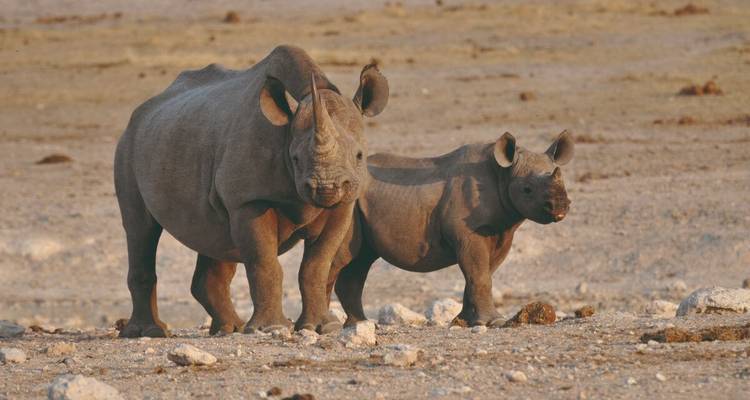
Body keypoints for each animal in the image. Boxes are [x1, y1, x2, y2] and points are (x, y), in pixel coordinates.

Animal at [114, 45, 388, 337]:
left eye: (360, 156)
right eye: (295, 159)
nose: (326, 187)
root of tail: (139, 113)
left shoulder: (343, 204)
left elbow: (316, 265)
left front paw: (322, 327)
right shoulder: (249, 201)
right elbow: (264, 262)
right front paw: (269, 328)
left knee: (213, 237)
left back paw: (229, 328)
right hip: (128, 146)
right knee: (140, 228)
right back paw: (148, 332)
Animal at [328, 131, 575, 327]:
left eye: (563, 182)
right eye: (527, 189)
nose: (560, 207)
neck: (503, 174)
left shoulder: (502, 233)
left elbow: (481, 274)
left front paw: (463, 321)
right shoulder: (468, 233)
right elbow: (479, 274)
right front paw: (495, 321)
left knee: (360, 261)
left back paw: (359, 324)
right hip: (347, 201)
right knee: (341, 258)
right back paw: (328, 326)